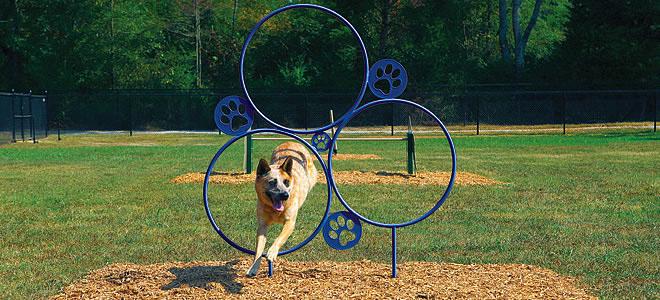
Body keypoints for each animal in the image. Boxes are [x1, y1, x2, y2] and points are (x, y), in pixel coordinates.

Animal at [248, 142, 320, 276]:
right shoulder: (262, 226)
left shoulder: (290, 223)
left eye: (286, 182)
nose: (285, 195)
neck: (274, 211)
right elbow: (258, 250)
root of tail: (291, 142)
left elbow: (279, 238)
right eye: (272, 182)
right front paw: (253, 267)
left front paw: (272, 252)